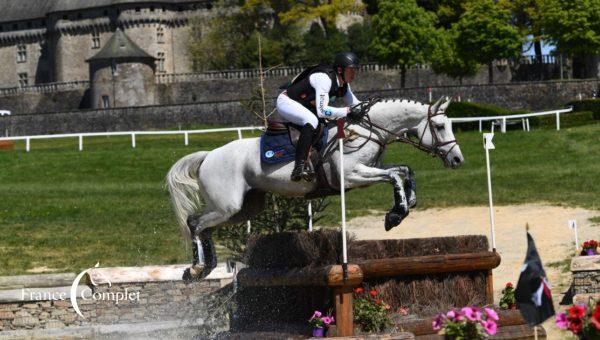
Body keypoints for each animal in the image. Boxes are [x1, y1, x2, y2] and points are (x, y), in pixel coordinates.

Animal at [169, 96, 464, 278]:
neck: (369, 131)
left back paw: (205, 267)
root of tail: (208, 156)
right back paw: (196, 268)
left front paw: (407, 203)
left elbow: (404, 170)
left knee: (203, 226)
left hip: (245, 209)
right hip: (227, 206)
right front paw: (396, 214)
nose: (457, 159)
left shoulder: (368, 170)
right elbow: (393, 175)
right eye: (440, 126)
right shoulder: (350, 177)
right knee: (194, 222)